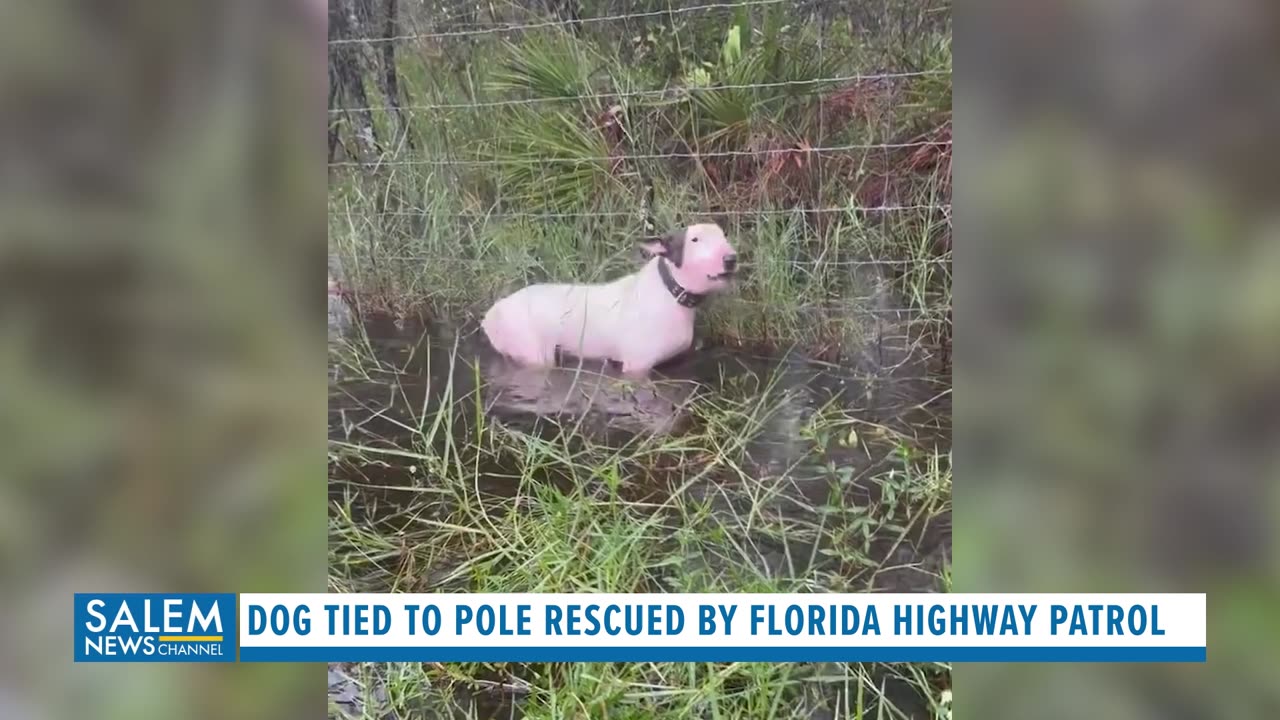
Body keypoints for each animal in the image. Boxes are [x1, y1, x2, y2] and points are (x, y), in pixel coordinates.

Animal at [481, 222, 742, 376]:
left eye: (723, 234)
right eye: (694, 240)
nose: (731, 259)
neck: (669, 292)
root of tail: (491, 316)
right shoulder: (637, 366)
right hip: (531, 349)